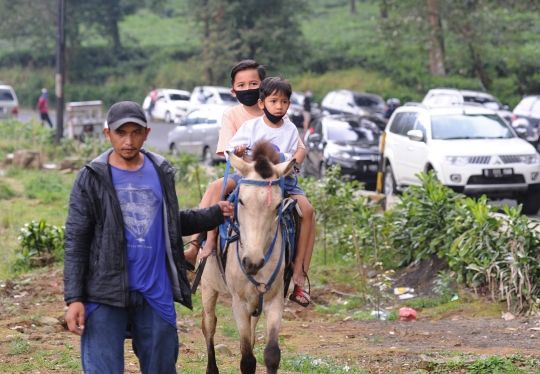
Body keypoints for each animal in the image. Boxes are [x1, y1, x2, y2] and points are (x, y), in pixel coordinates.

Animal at [200, 141, 298, 374]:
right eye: (241, 201)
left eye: (278, 205)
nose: (252, 262)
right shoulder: (240, 303)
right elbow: (247, 359)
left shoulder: (275, 300)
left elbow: (271, 354)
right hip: (208, 285)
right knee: (209, 324)